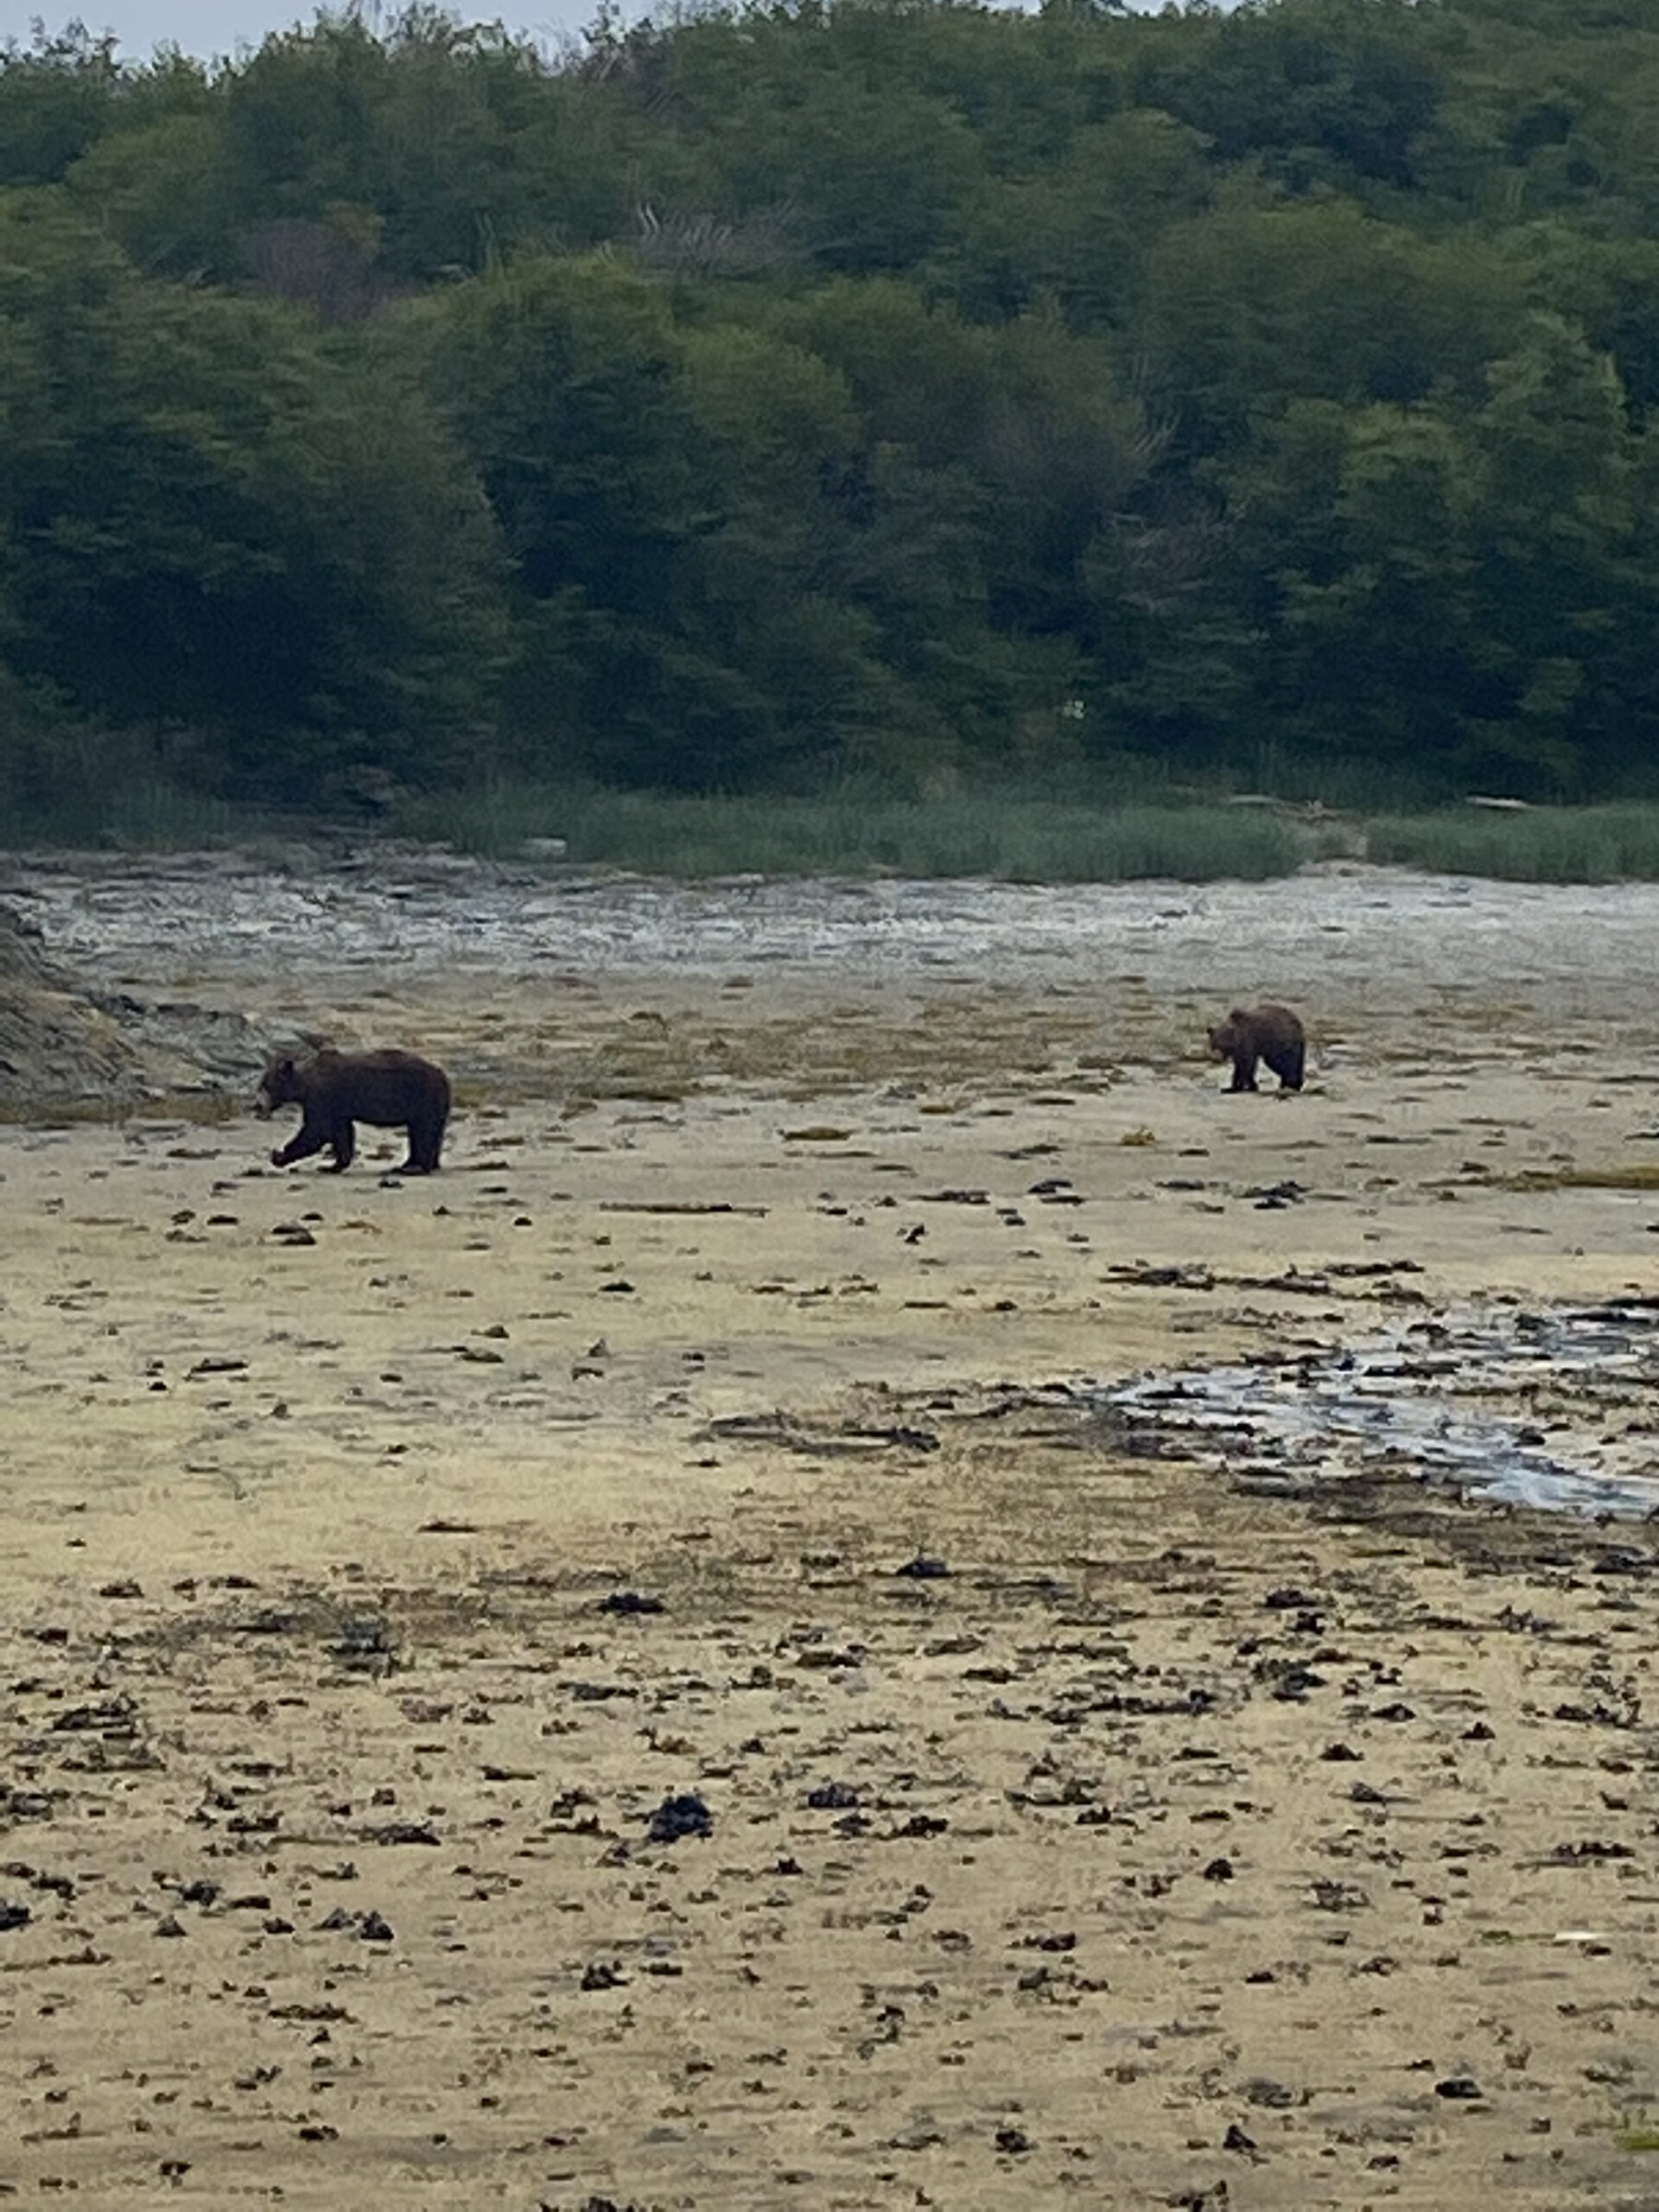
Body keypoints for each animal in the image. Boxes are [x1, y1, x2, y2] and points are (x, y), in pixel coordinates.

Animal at [255, 1048, 451, 1176]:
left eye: (265, 1086)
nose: (257, 1106)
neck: (306, 1083)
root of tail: (443, 1076)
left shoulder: (322, 1097)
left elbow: (316, 1131)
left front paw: (278, 1155)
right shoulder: (337, 1107)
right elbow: (341, 1132)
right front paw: (333, 1165)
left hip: (423, 1097)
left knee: (423, 1131)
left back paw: (414, 1168)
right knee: (425, 1132)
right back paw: (415, 1164)